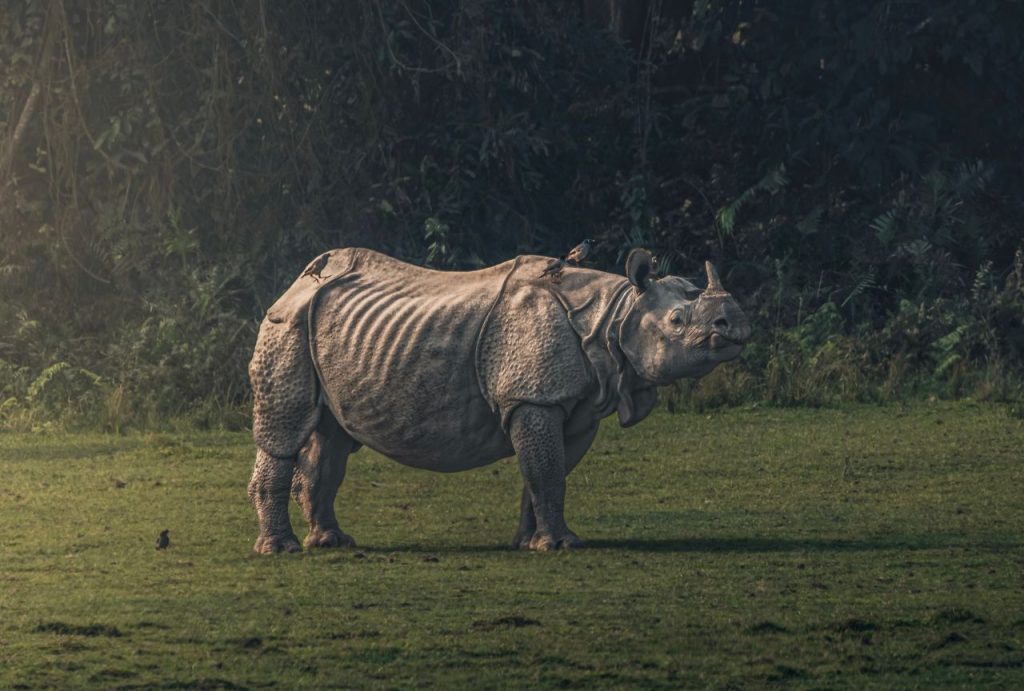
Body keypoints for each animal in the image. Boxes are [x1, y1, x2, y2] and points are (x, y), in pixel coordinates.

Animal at [248, 247, 750, 553]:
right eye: (678, 320)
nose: (735, 325)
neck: (616, 313)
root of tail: (295, 284)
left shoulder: (576, 405)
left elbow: (545, 472)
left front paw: (532, 543)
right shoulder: (533, 397)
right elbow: (546, 469)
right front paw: (561, 546)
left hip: (321, 326)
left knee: (331, 439)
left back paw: (331, 542)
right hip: (287, 324)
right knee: (286, 429)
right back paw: (283, 550)